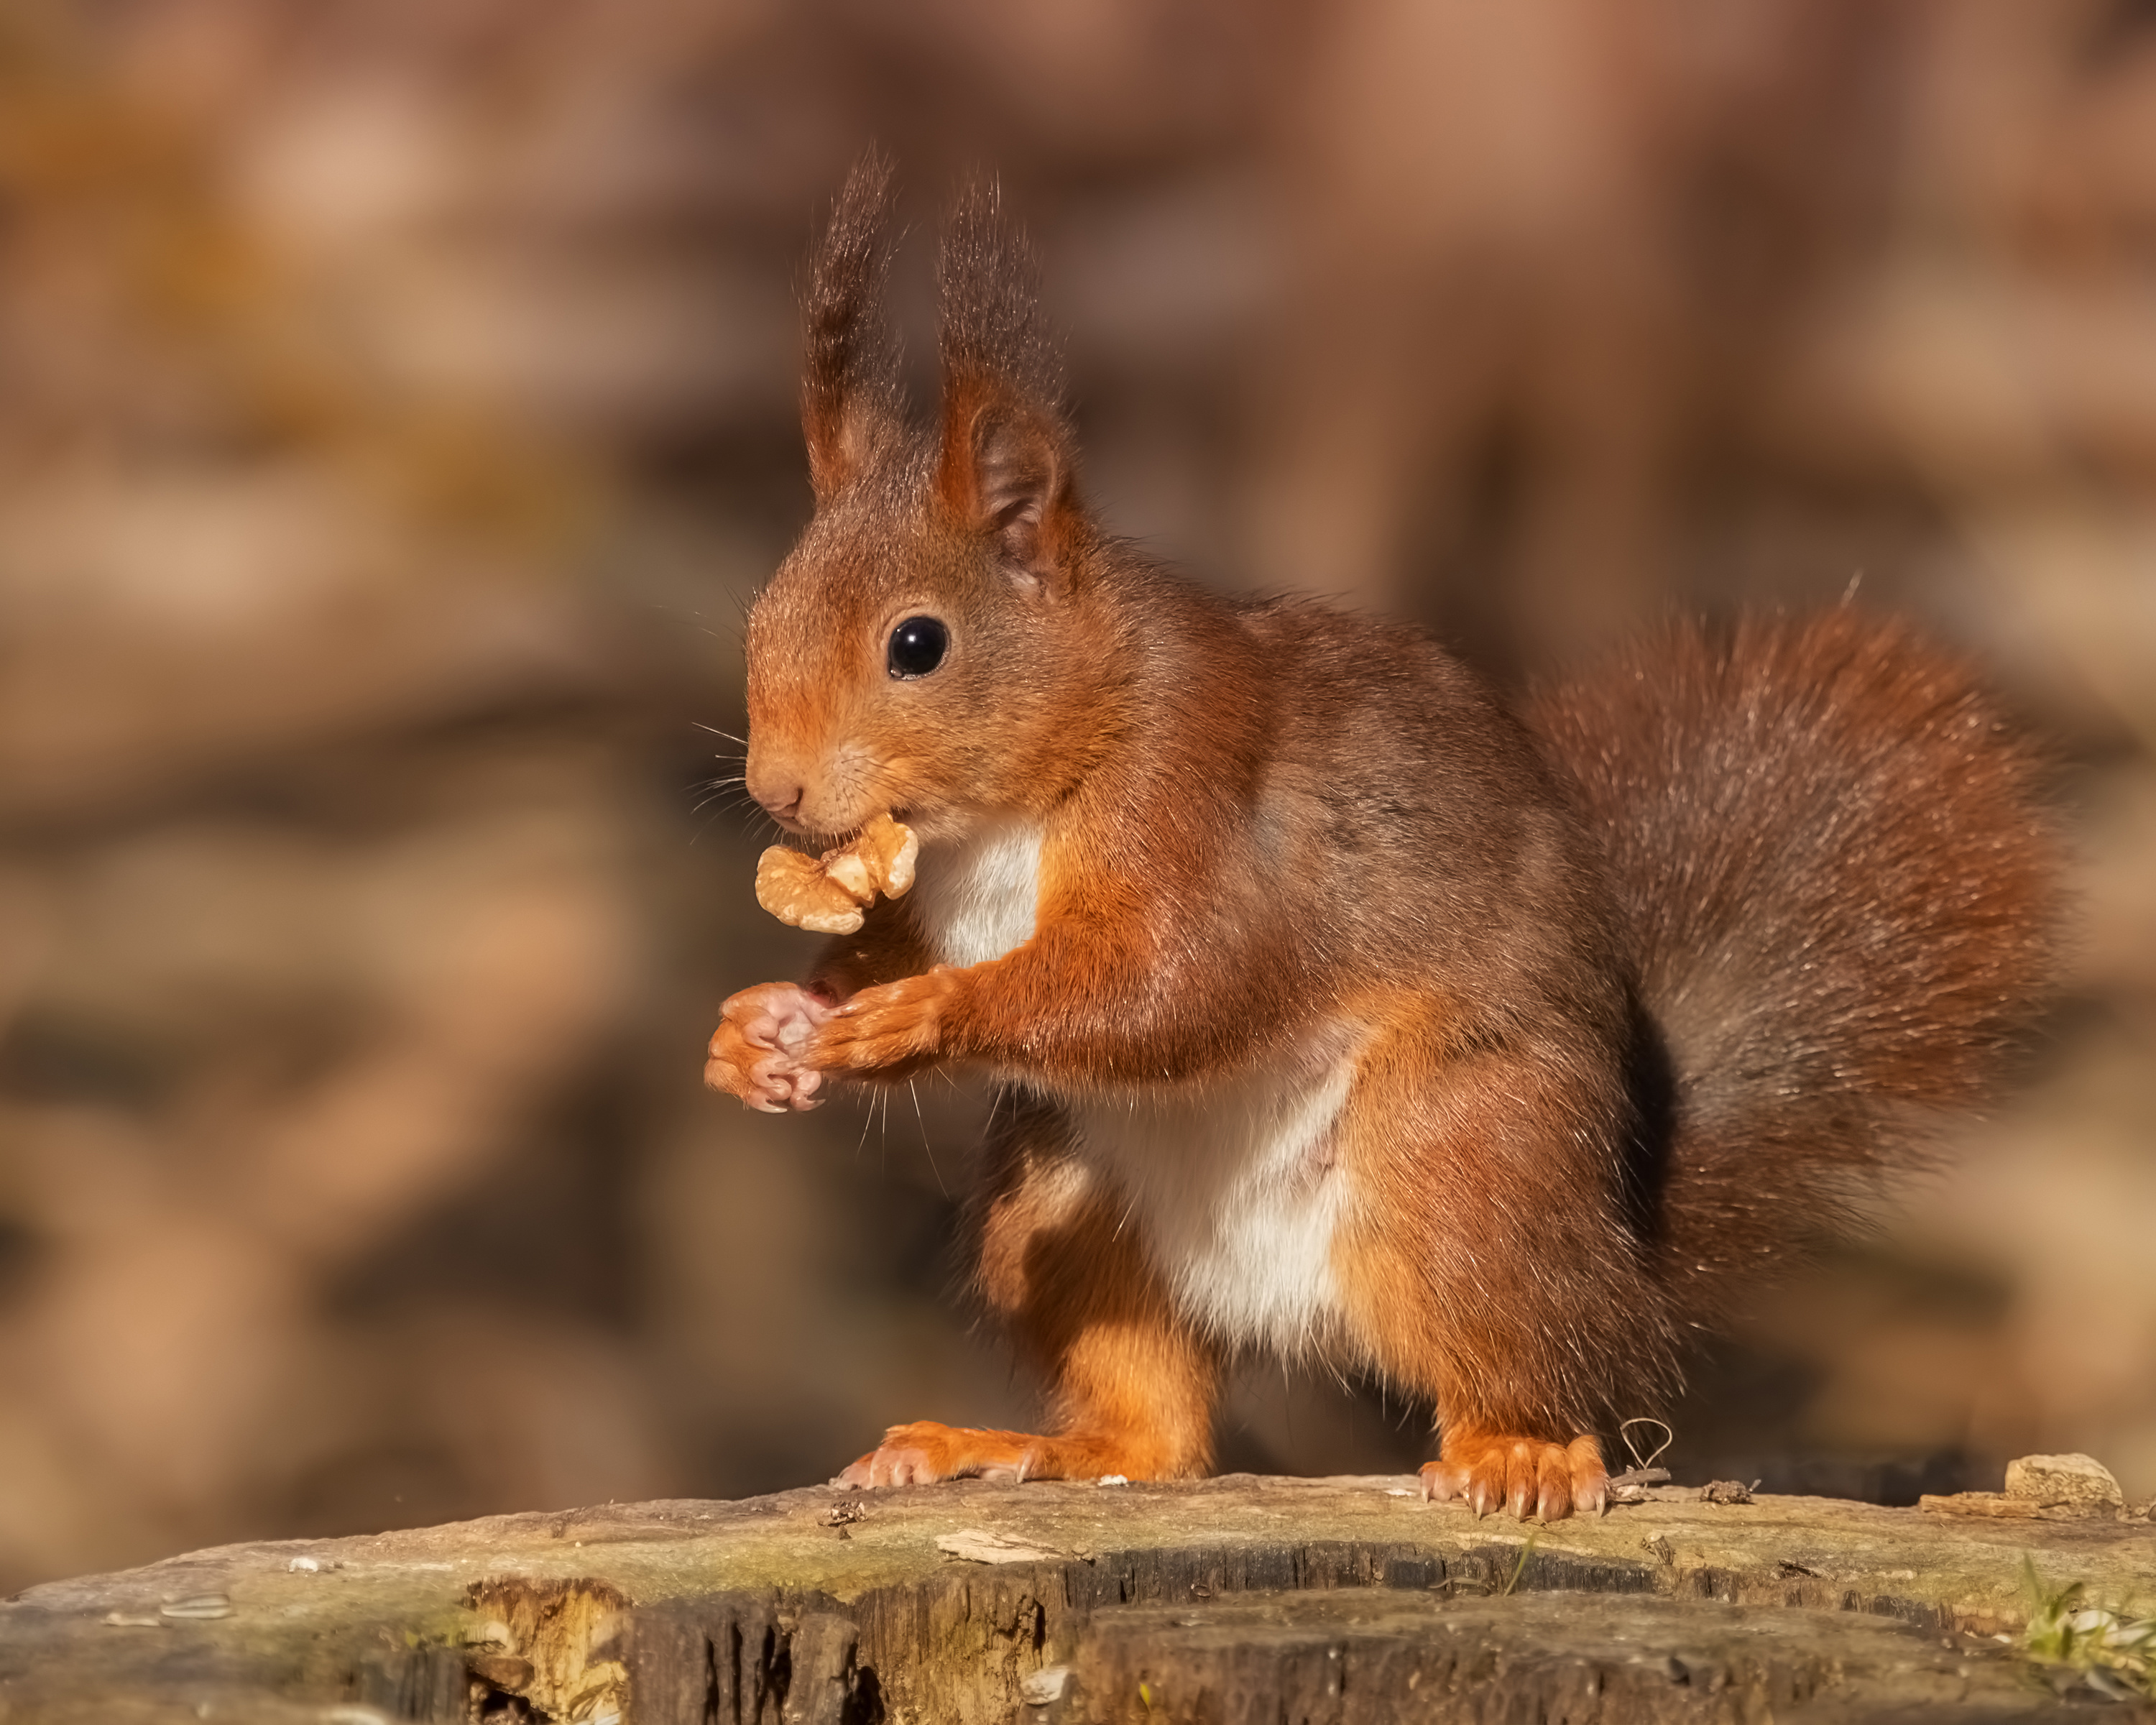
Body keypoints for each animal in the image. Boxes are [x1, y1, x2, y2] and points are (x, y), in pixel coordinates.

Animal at [703, 155, 2053, 1518]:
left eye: (917, 644)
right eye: (764, 615)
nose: (781, 791)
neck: (1006, 812)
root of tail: (1622, 1256)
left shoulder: (1191, 798)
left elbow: (1179, 980)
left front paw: (922, 1016)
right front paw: (765, 1030)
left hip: (1457, 1166)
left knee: (1524, 1364)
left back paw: (1519, 1454)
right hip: (1061, 1201)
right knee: (1157, 1431)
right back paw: (1016, 1445)